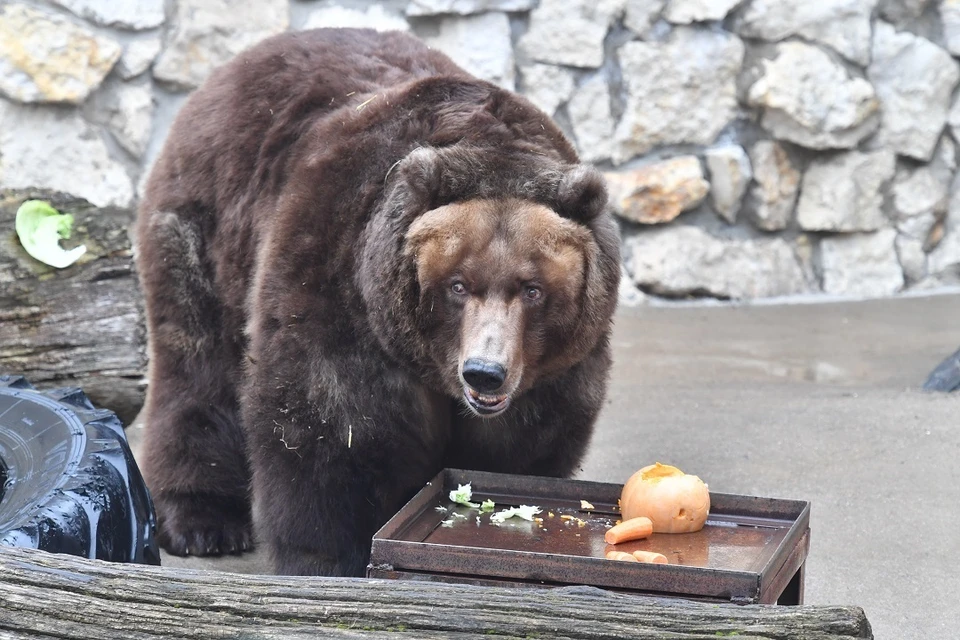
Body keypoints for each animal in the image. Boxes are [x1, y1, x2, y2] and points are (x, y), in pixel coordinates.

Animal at [135, 27, 624, 576]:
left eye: (533, 289)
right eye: (458, 285)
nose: (485, 373)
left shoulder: (552, 367)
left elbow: (526, 443)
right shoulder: (343, 282)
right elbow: (330, 425)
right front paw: (326, 557)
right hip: (208, 227)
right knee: (198, 363)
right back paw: (204, 520)